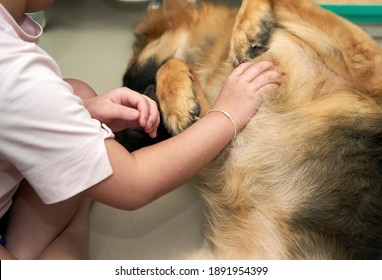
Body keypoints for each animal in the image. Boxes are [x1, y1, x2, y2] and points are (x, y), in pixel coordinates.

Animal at [115, 0, 382, 260]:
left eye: (128, 79)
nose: (119, 140)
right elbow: (174, 67)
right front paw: (178, 102)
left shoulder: (368, 67)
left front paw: (247, 27)